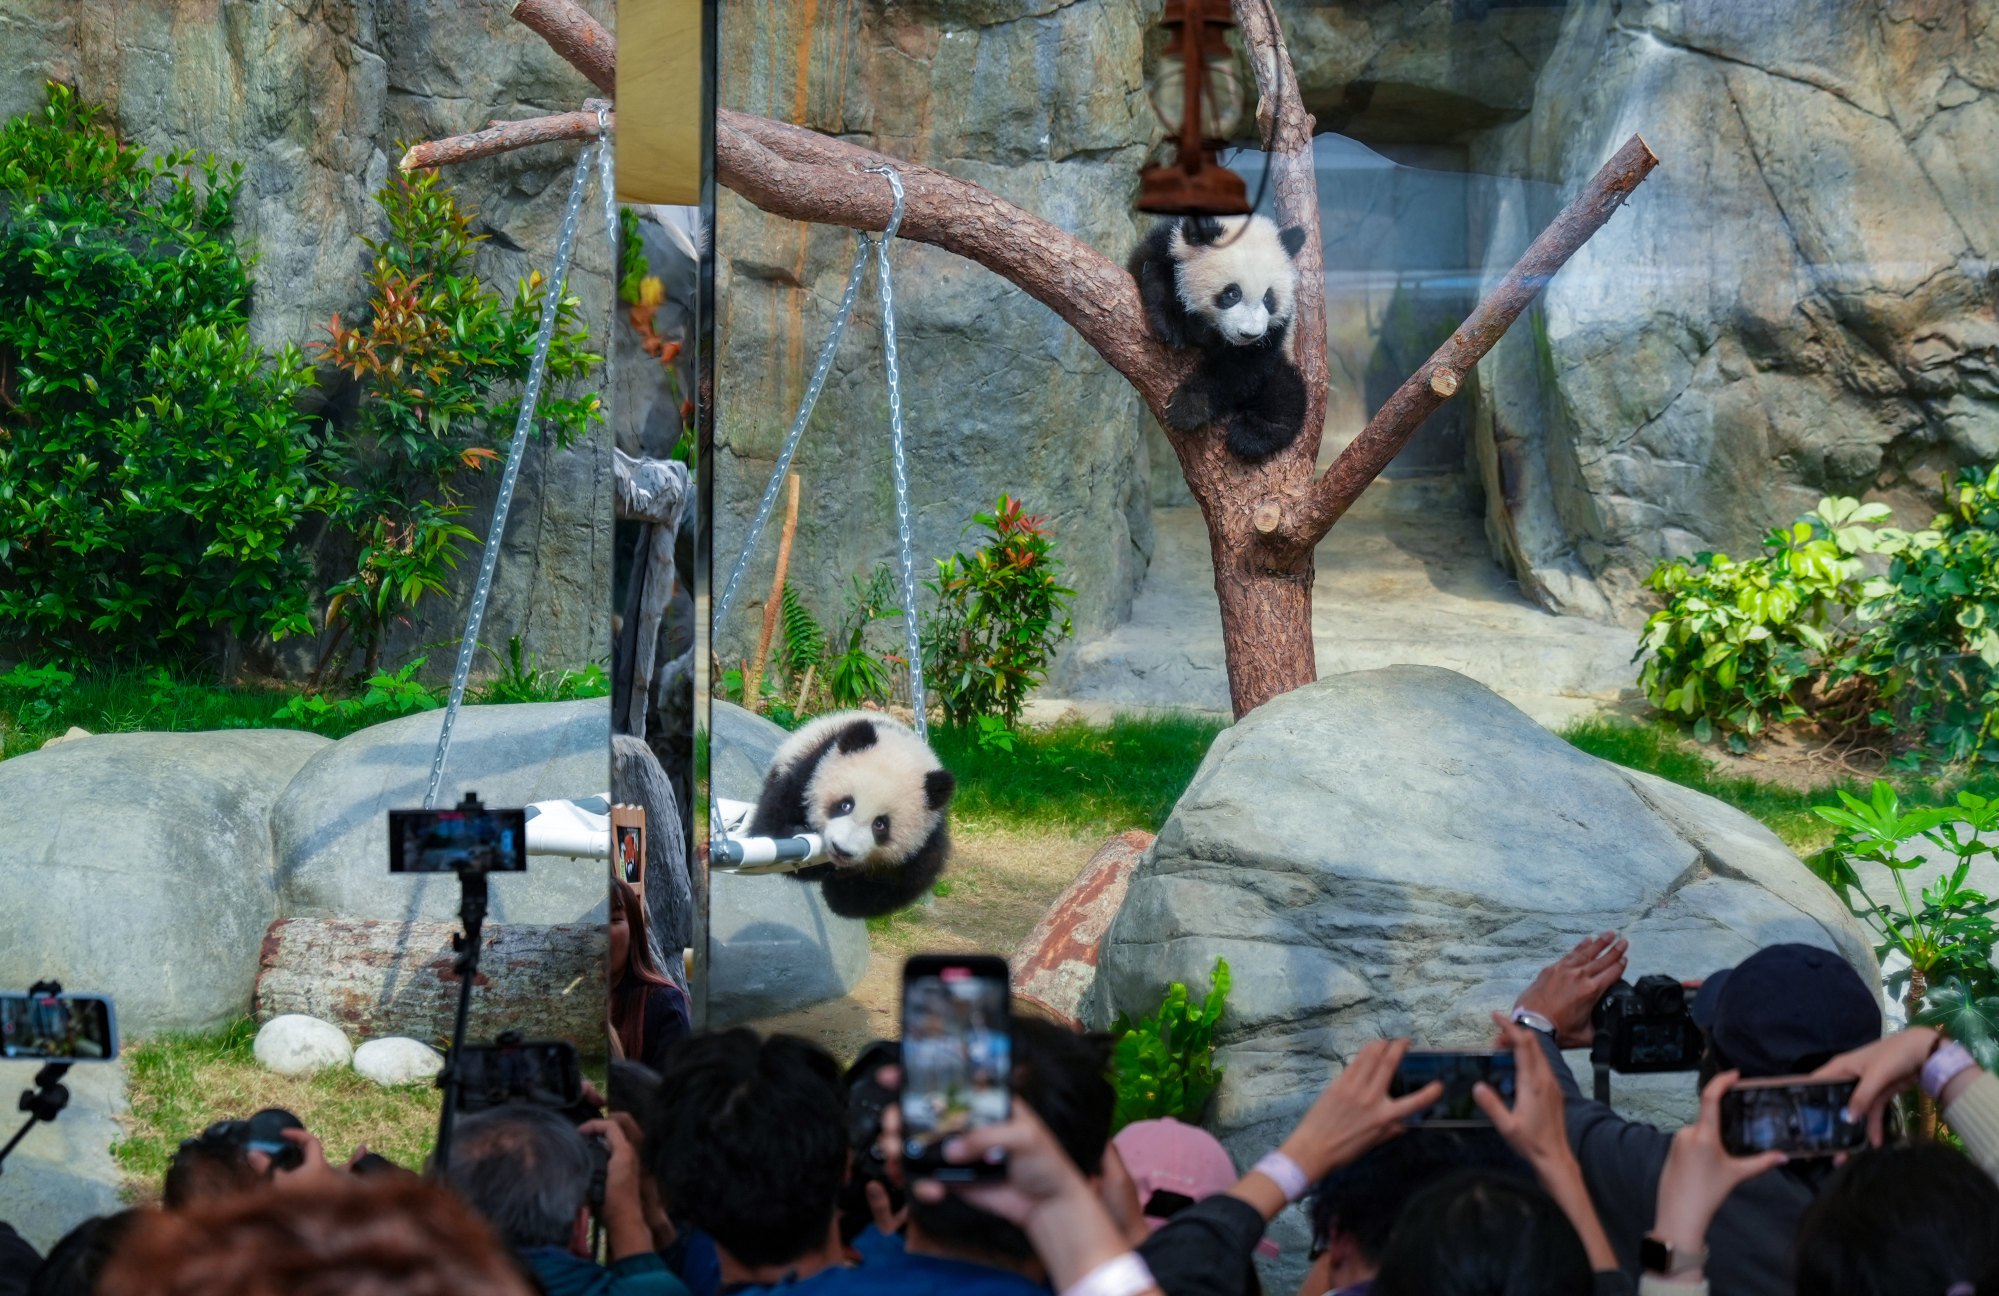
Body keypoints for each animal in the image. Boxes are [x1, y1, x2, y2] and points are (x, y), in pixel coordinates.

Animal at [747, 709, 957, 920]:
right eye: (845, 805)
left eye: (880, 824)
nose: (841, 849)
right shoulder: (809, 772)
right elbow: (769, 824)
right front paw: (798, 833)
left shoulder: (929, 837)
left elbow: (903, 883)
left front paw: (841, 888)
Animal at [1128, 213, 1310, 462]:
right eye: (1233, 293)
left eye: (1268, 298)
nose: (1249, 334)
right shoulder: (1164, 243)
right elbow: (1150, 269)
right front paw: (1172, 325)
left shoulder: (1277, 331)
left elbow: (1240, 368)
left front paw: (1189, 407)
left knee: (1285, 393)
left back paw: (1252, 434)